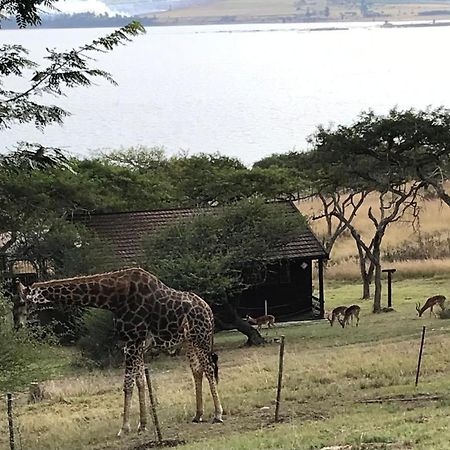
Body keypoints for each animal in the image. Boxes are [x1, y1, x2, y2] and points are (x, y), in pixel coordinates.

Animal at [18, 268, 223, 436]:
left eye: (22, 302)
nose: (19, 325)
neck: (113, 299)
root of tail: (209, 311)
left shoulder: (133, 341)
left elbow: (128, 384)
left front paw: (124, 428)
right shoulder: (134, 343)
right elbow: (140, 381)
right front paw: (142, 425)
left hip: (201, 337)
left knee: (209, 368)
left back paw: (218, 414)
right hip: (189, 341)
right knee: (197, 370)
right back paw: (198, 415)